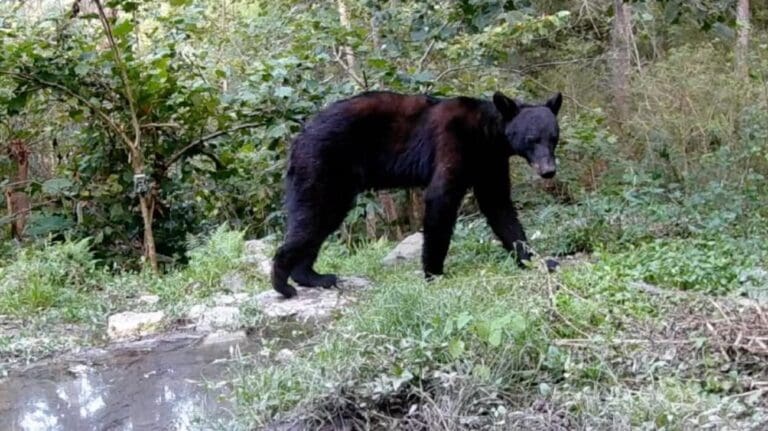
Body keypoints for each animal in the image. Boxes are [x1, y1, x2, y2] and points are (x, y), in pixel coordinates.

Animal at [272, 90, 563, 298]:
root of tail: (298, 138)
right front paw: (434, 272)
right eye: (532, 138)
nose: (549, 171)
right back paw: (283, 283)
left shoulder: (489, 163)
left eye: (553, 138)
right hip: (323, 166)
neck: (486, 134)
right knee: (312, 217)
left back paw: (313, 276)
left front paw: (538, 260)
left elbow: (499, 206)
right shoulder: (453, 144)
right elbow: (441, 200)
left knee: (318, 223)